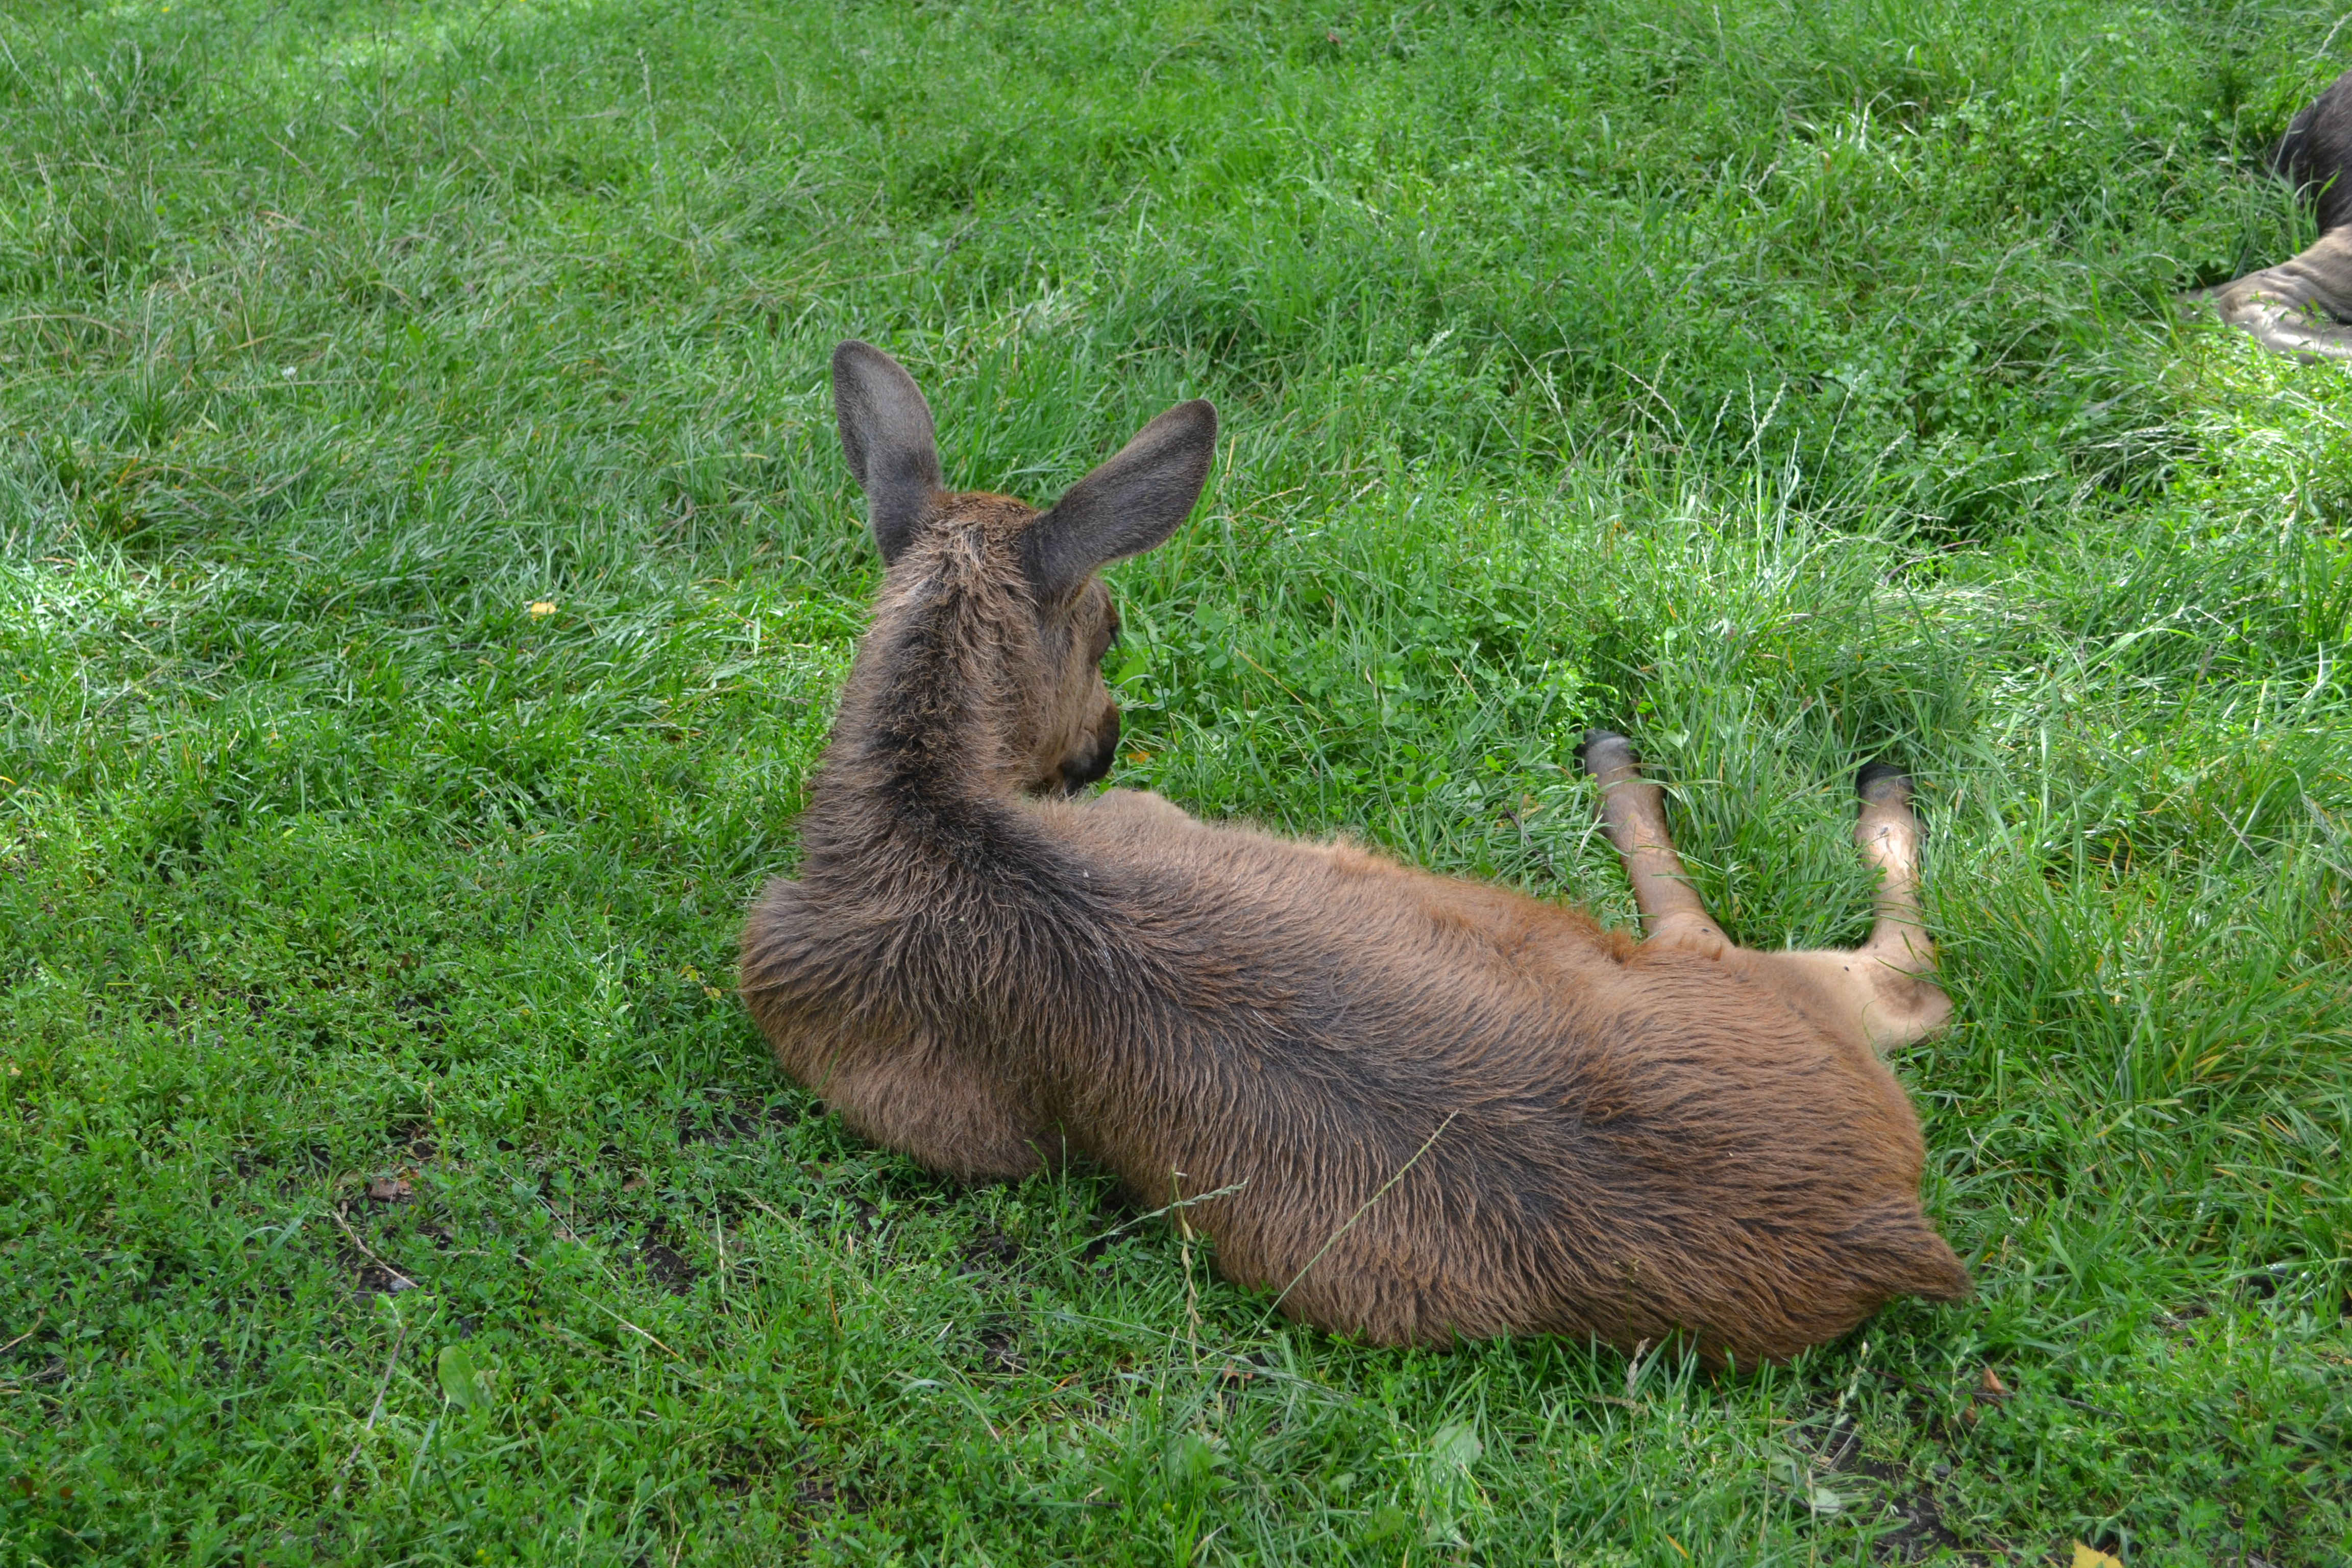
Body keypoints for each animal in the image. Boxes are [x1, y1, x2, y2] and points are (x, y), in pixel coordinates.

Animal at [743, 346, 1975, 1363]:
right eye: (1112, 629)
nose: (1101, 748)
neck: (917, 807)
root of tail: (1892, 1233)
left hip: (1735, 983)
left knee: (1880, 972)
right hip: (1755, 997)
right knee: (1895, 986)